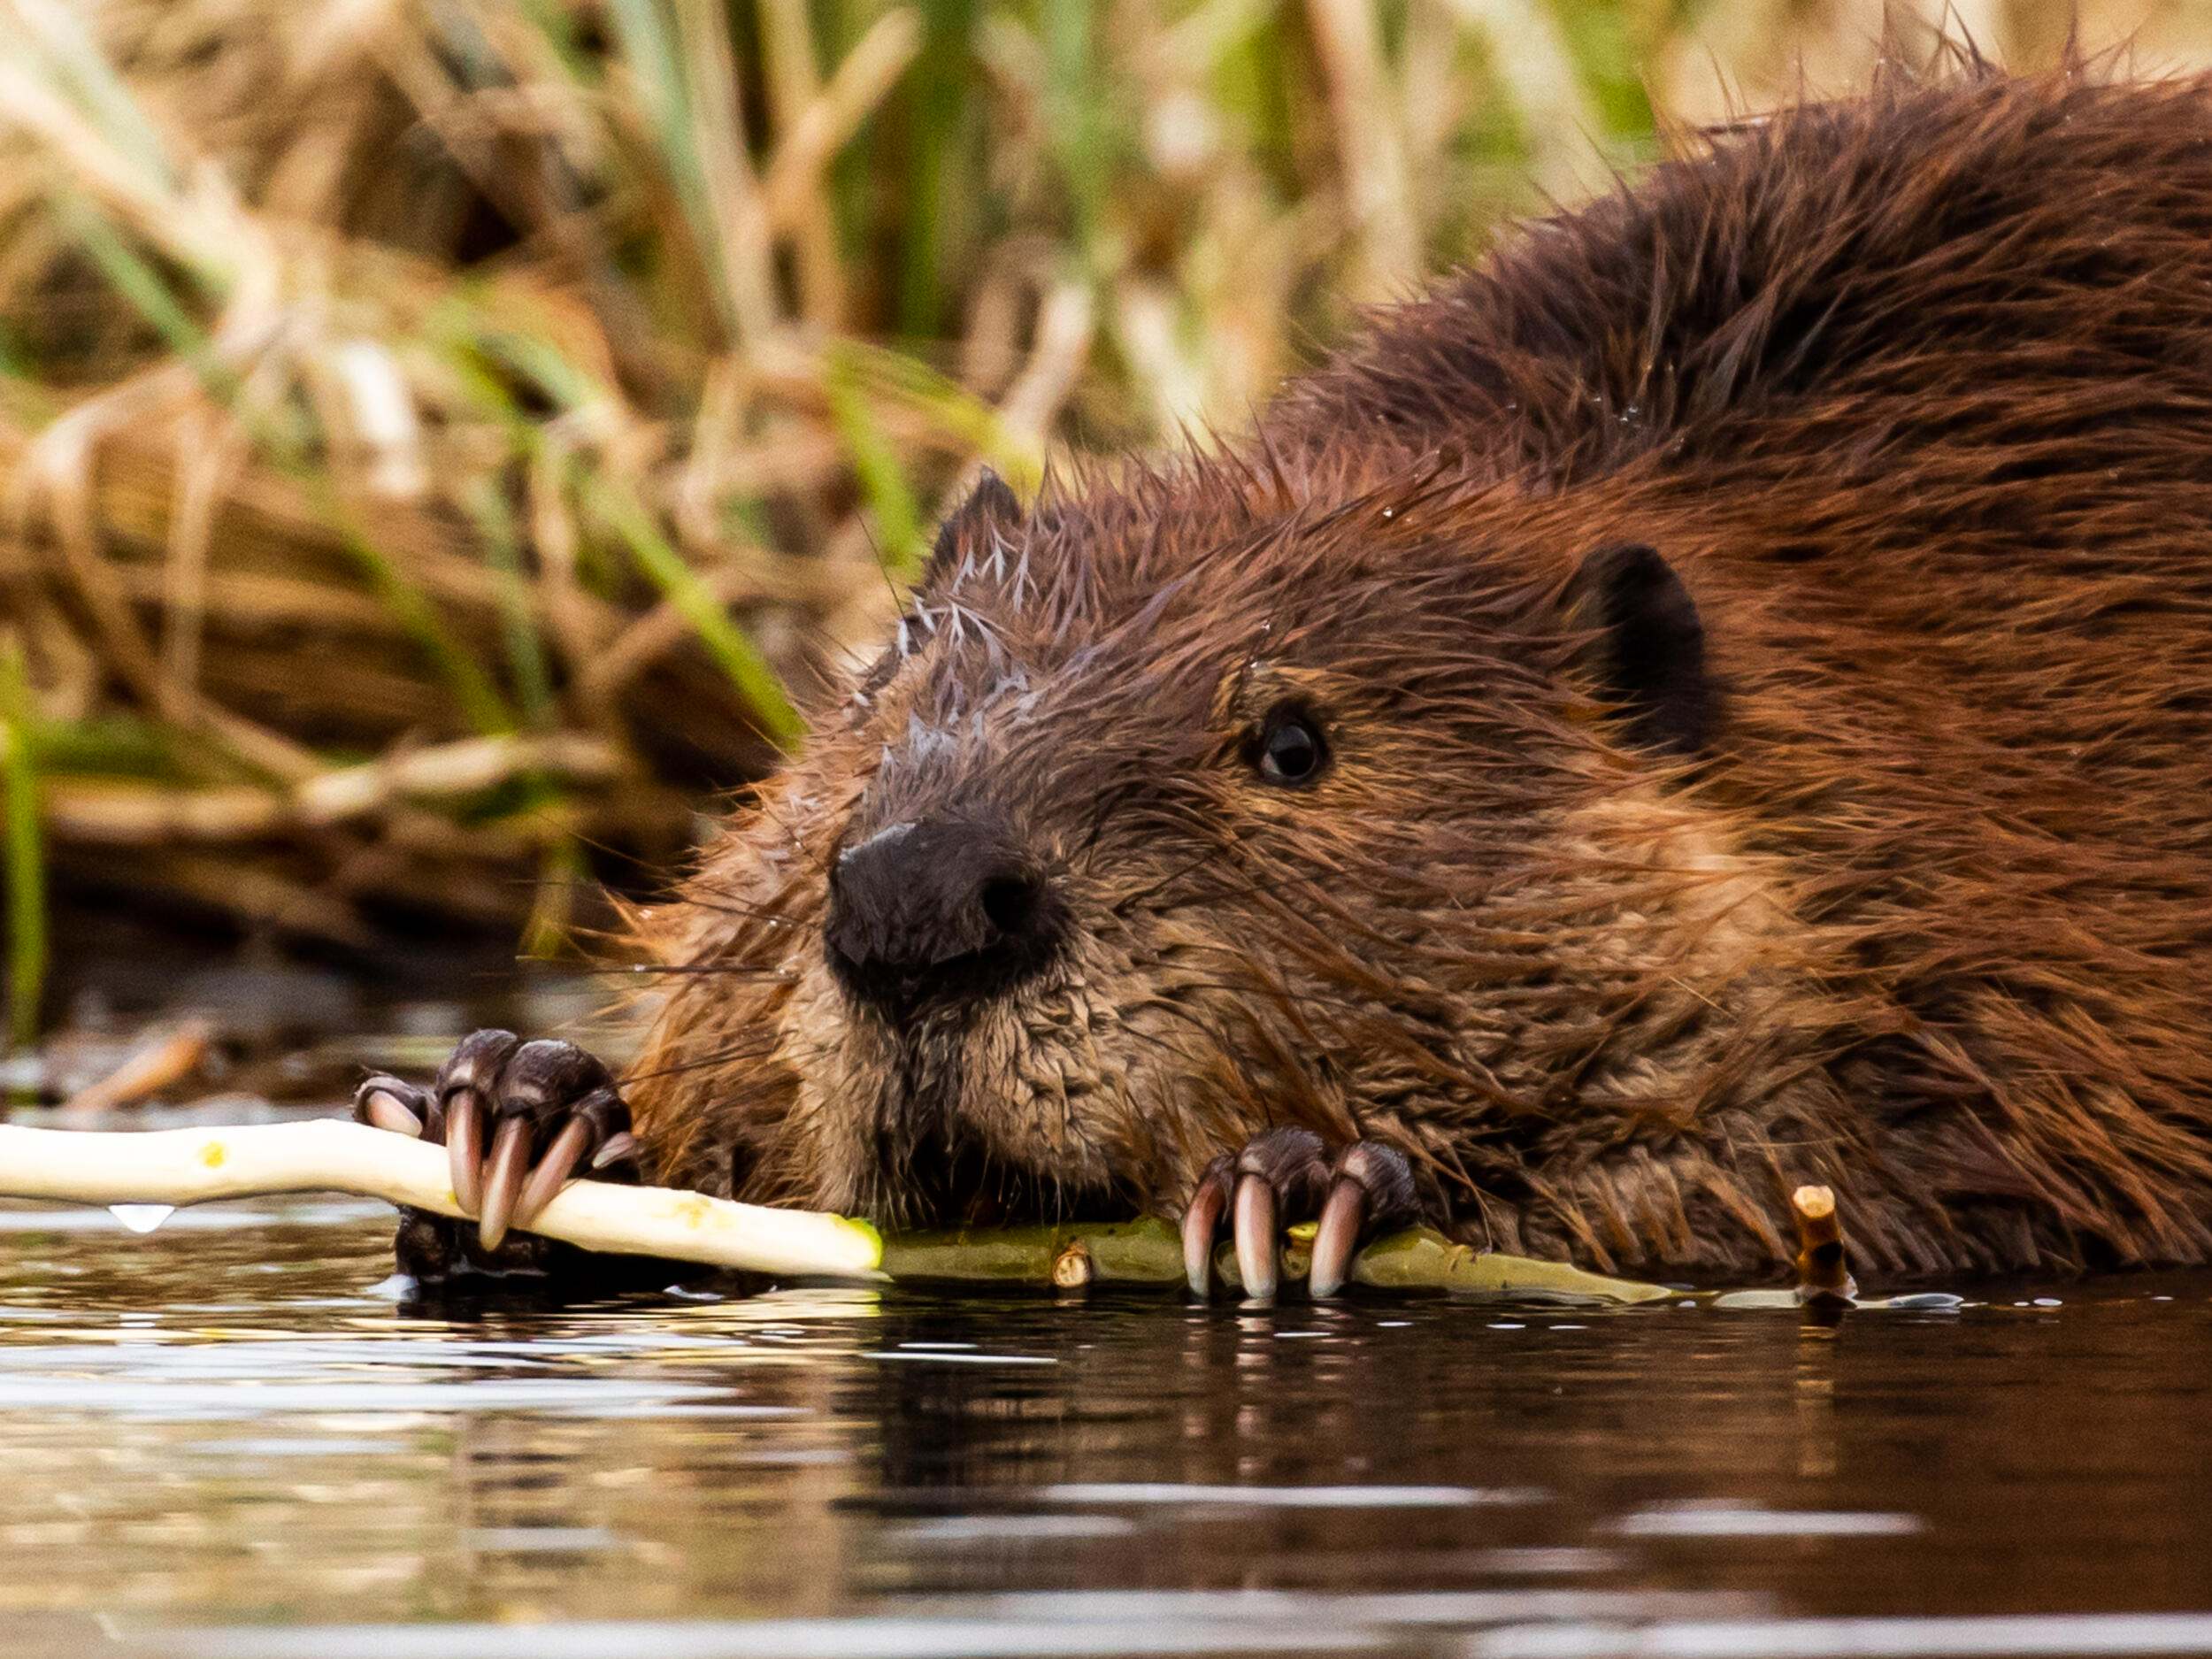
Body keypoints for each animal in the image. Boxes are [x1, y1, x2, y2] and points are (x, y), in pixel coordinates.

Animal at [354, 65, 2212, 1301]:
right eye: (883, 711)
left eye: (1298, 744)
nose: (916, 901)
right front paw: (511, 1110)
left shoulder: (2037, 953)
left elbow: (1915, 1185)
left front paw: (1315, 1183)